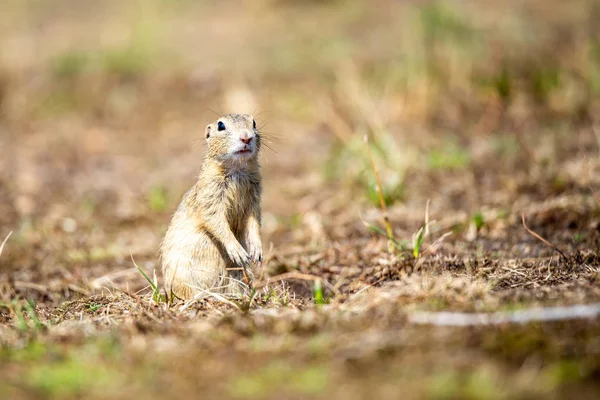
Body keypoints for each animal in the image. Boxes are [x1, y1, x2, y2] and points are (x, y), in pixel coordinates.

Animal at [161, 114, 262, 298]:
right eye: (221, 126)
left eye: (254, 123)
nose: (246, 137)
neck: (237, 170)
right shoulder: (210, 196)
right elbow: (216, 221)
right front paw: (237, 251)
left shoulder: (255, 198)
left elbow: (254, 222)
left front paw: (257, 251)